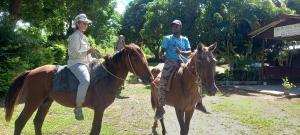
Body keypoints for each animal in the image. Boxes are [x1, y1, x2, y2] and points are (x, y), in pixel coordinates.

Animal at [5, 43, 152, 135]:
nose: (149, 78)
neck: (106, 76)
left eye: (144, 56)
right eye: (135, 58)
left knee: (37, 122)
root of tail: (31, 72)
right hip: (33, 102)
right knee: (20, 123)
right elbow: (95, 130)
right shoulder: (99, 109)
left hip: (45, 102)